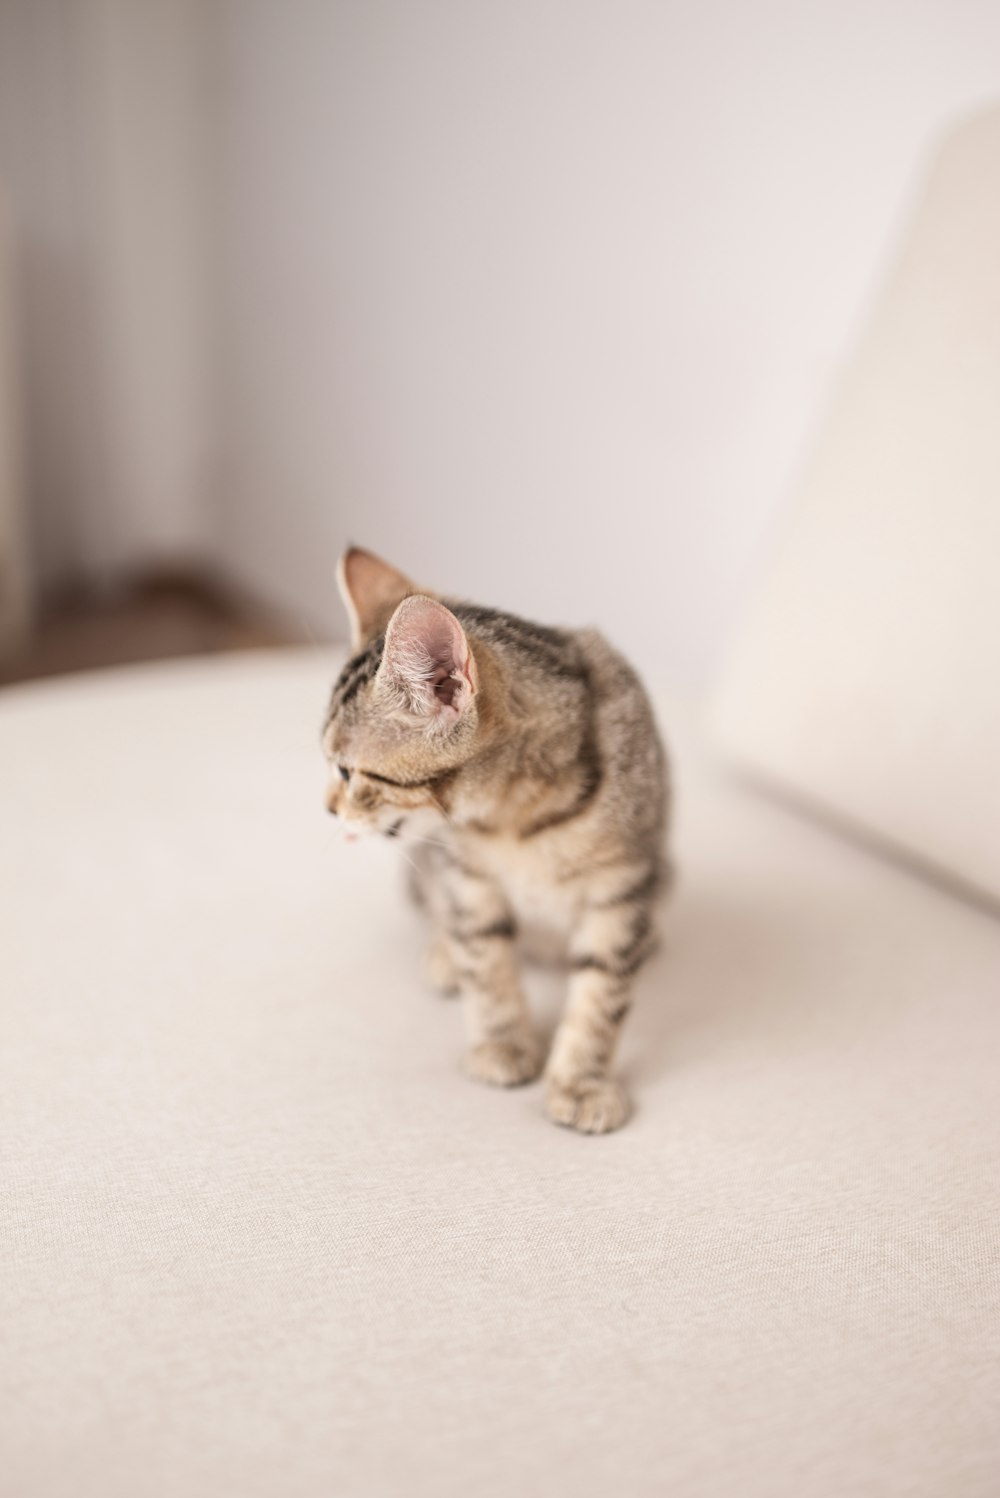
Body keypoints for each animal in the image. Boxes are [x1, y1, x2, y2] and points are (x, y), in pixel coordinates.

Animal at [321, 551, 670, 1132]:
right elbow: (486, 964)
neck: (519, 819)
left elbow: (602, 992)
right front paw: (504, 1046)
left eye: (348, 772)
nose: (328, 809)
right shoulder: (467, 879)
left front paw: (582, 1081)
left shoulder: (621, 888)